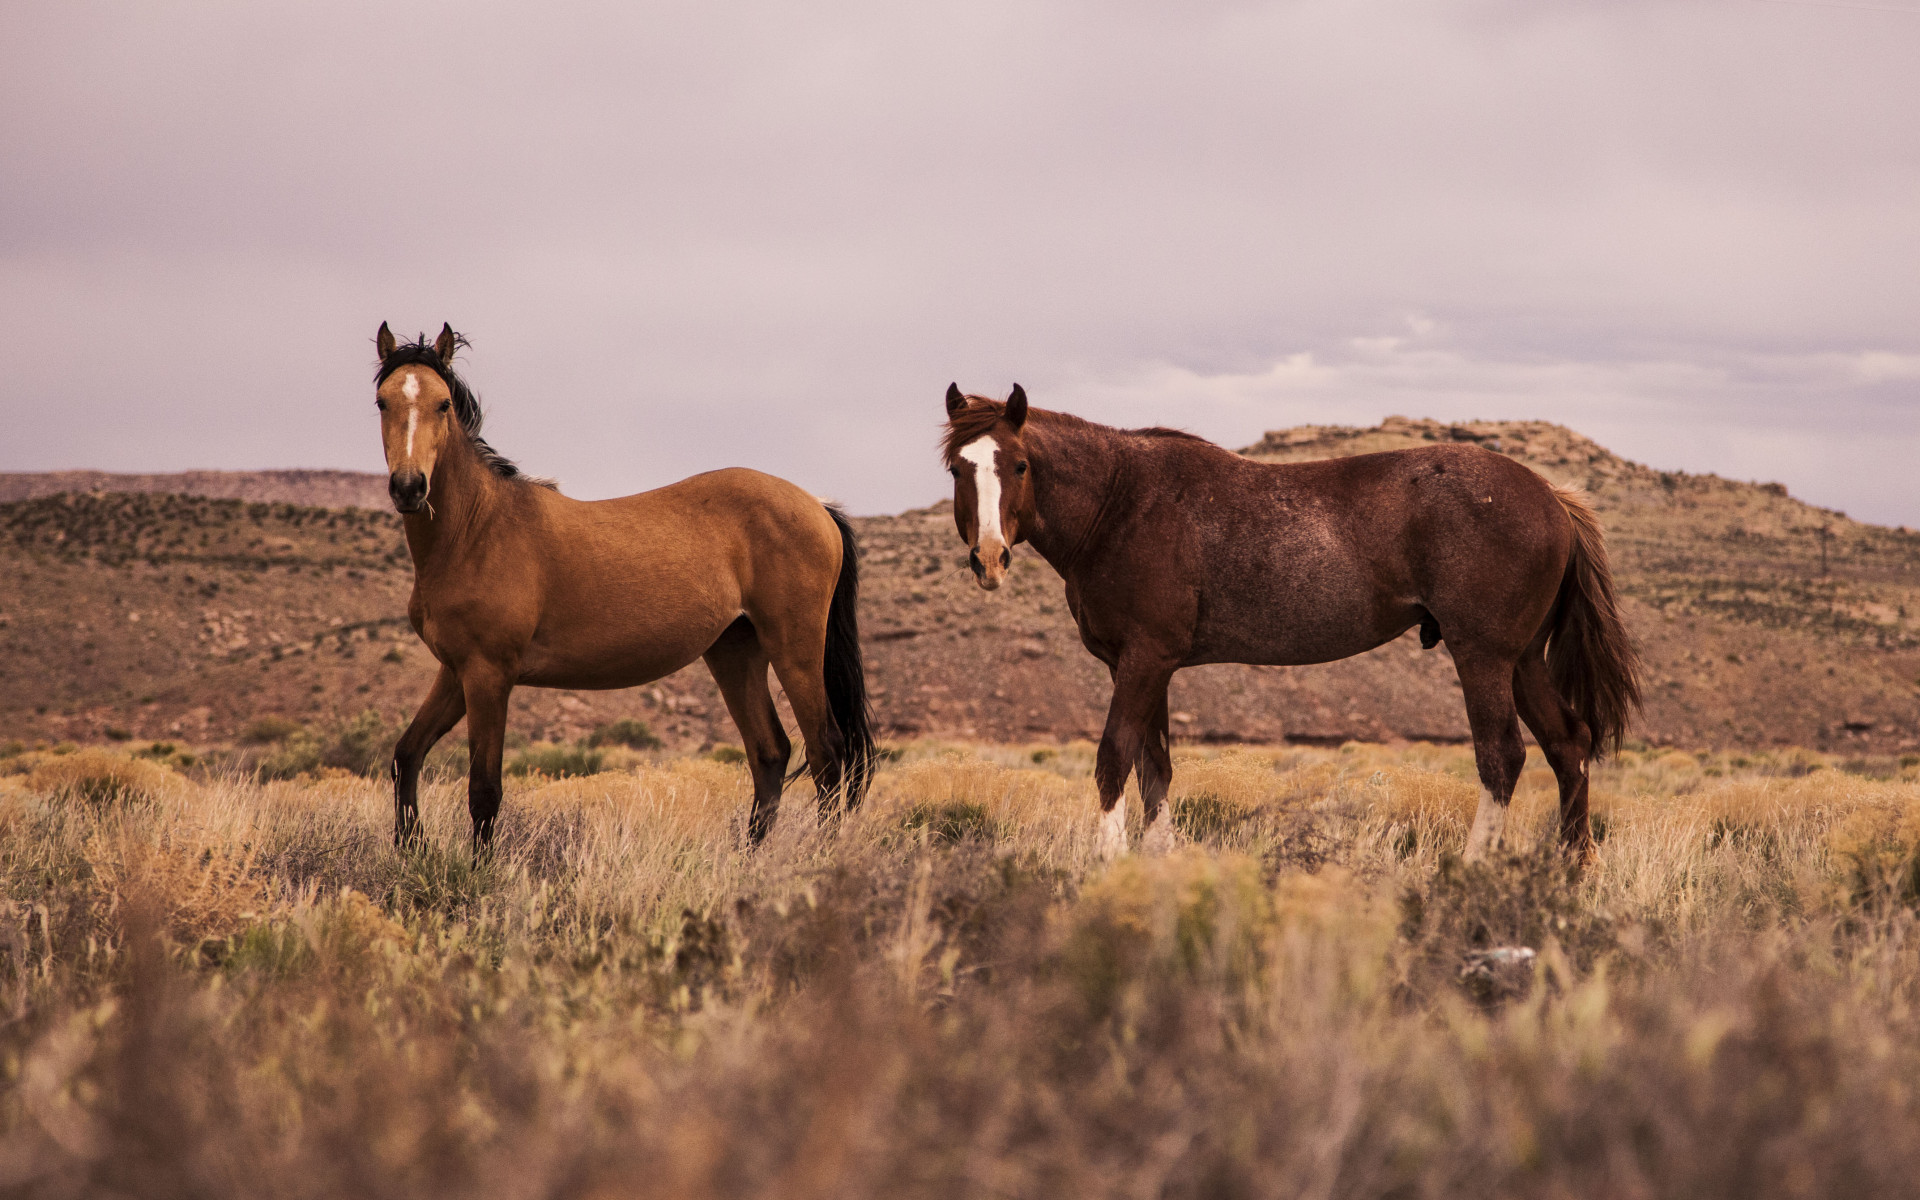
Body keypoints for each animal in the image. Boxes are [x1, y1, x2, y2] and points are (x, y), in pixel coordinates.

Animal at [371, 322, 875, 851]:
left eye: (443, 403)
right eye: (382, 401)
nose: (409, 487)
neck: (477, 529)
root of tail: (817, 506)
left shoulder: (488, 675)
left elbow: (484, 791)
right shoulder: (456, 672)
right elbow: (406, 756)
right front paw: (412, 848)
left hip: (795, 649)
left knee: (827, 754)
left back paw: (819, 854)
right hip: (735, 651)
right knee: (770, 752)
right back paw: (750, 858)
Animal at [940, 383, 1642, 863]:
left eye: (1019, 465)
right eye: (957, 468)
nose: (989, 558)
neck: (1121, 502)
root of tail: (1552, 497)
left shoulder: (1143, 661)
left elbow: (1114, 758)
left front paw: (1110, 863)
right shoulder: (1147, 667)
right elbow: (1155, 768)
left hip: (1484, 658)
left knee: (1503, 757)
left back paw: (1473, 869)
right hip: (1522, 661)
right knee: (1569, 745)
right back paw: (1569, 871)